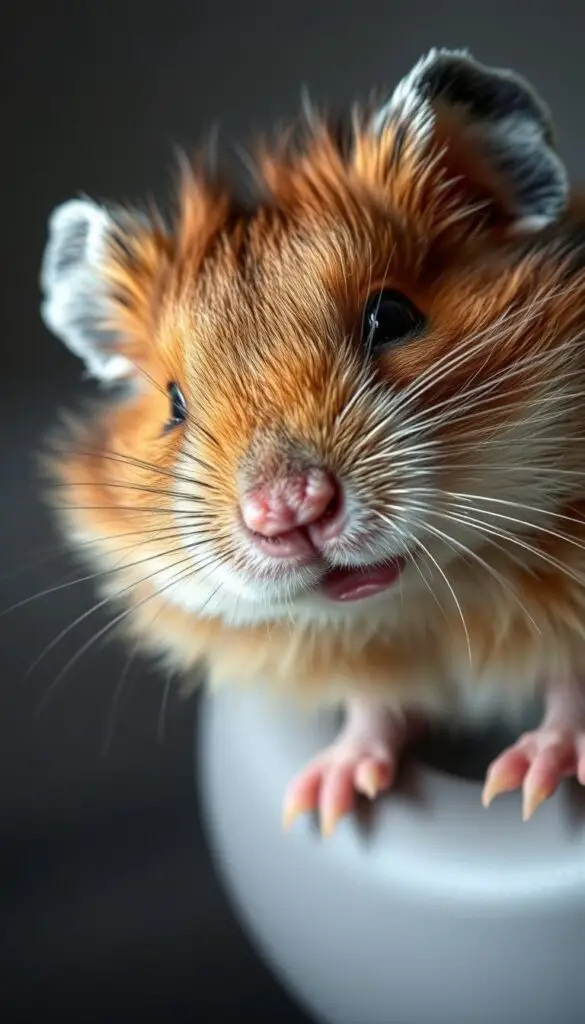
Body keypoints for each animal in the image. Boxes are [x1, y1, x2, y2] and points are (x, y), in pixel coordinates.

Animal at [38, 47, 585, 836]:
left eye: (392, 317)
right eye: (173, 404)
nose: (289, 510)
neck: (429, 599)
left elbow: (569, 690)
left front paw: (525, 783)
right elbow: (374, 708)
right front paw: (325, 801)